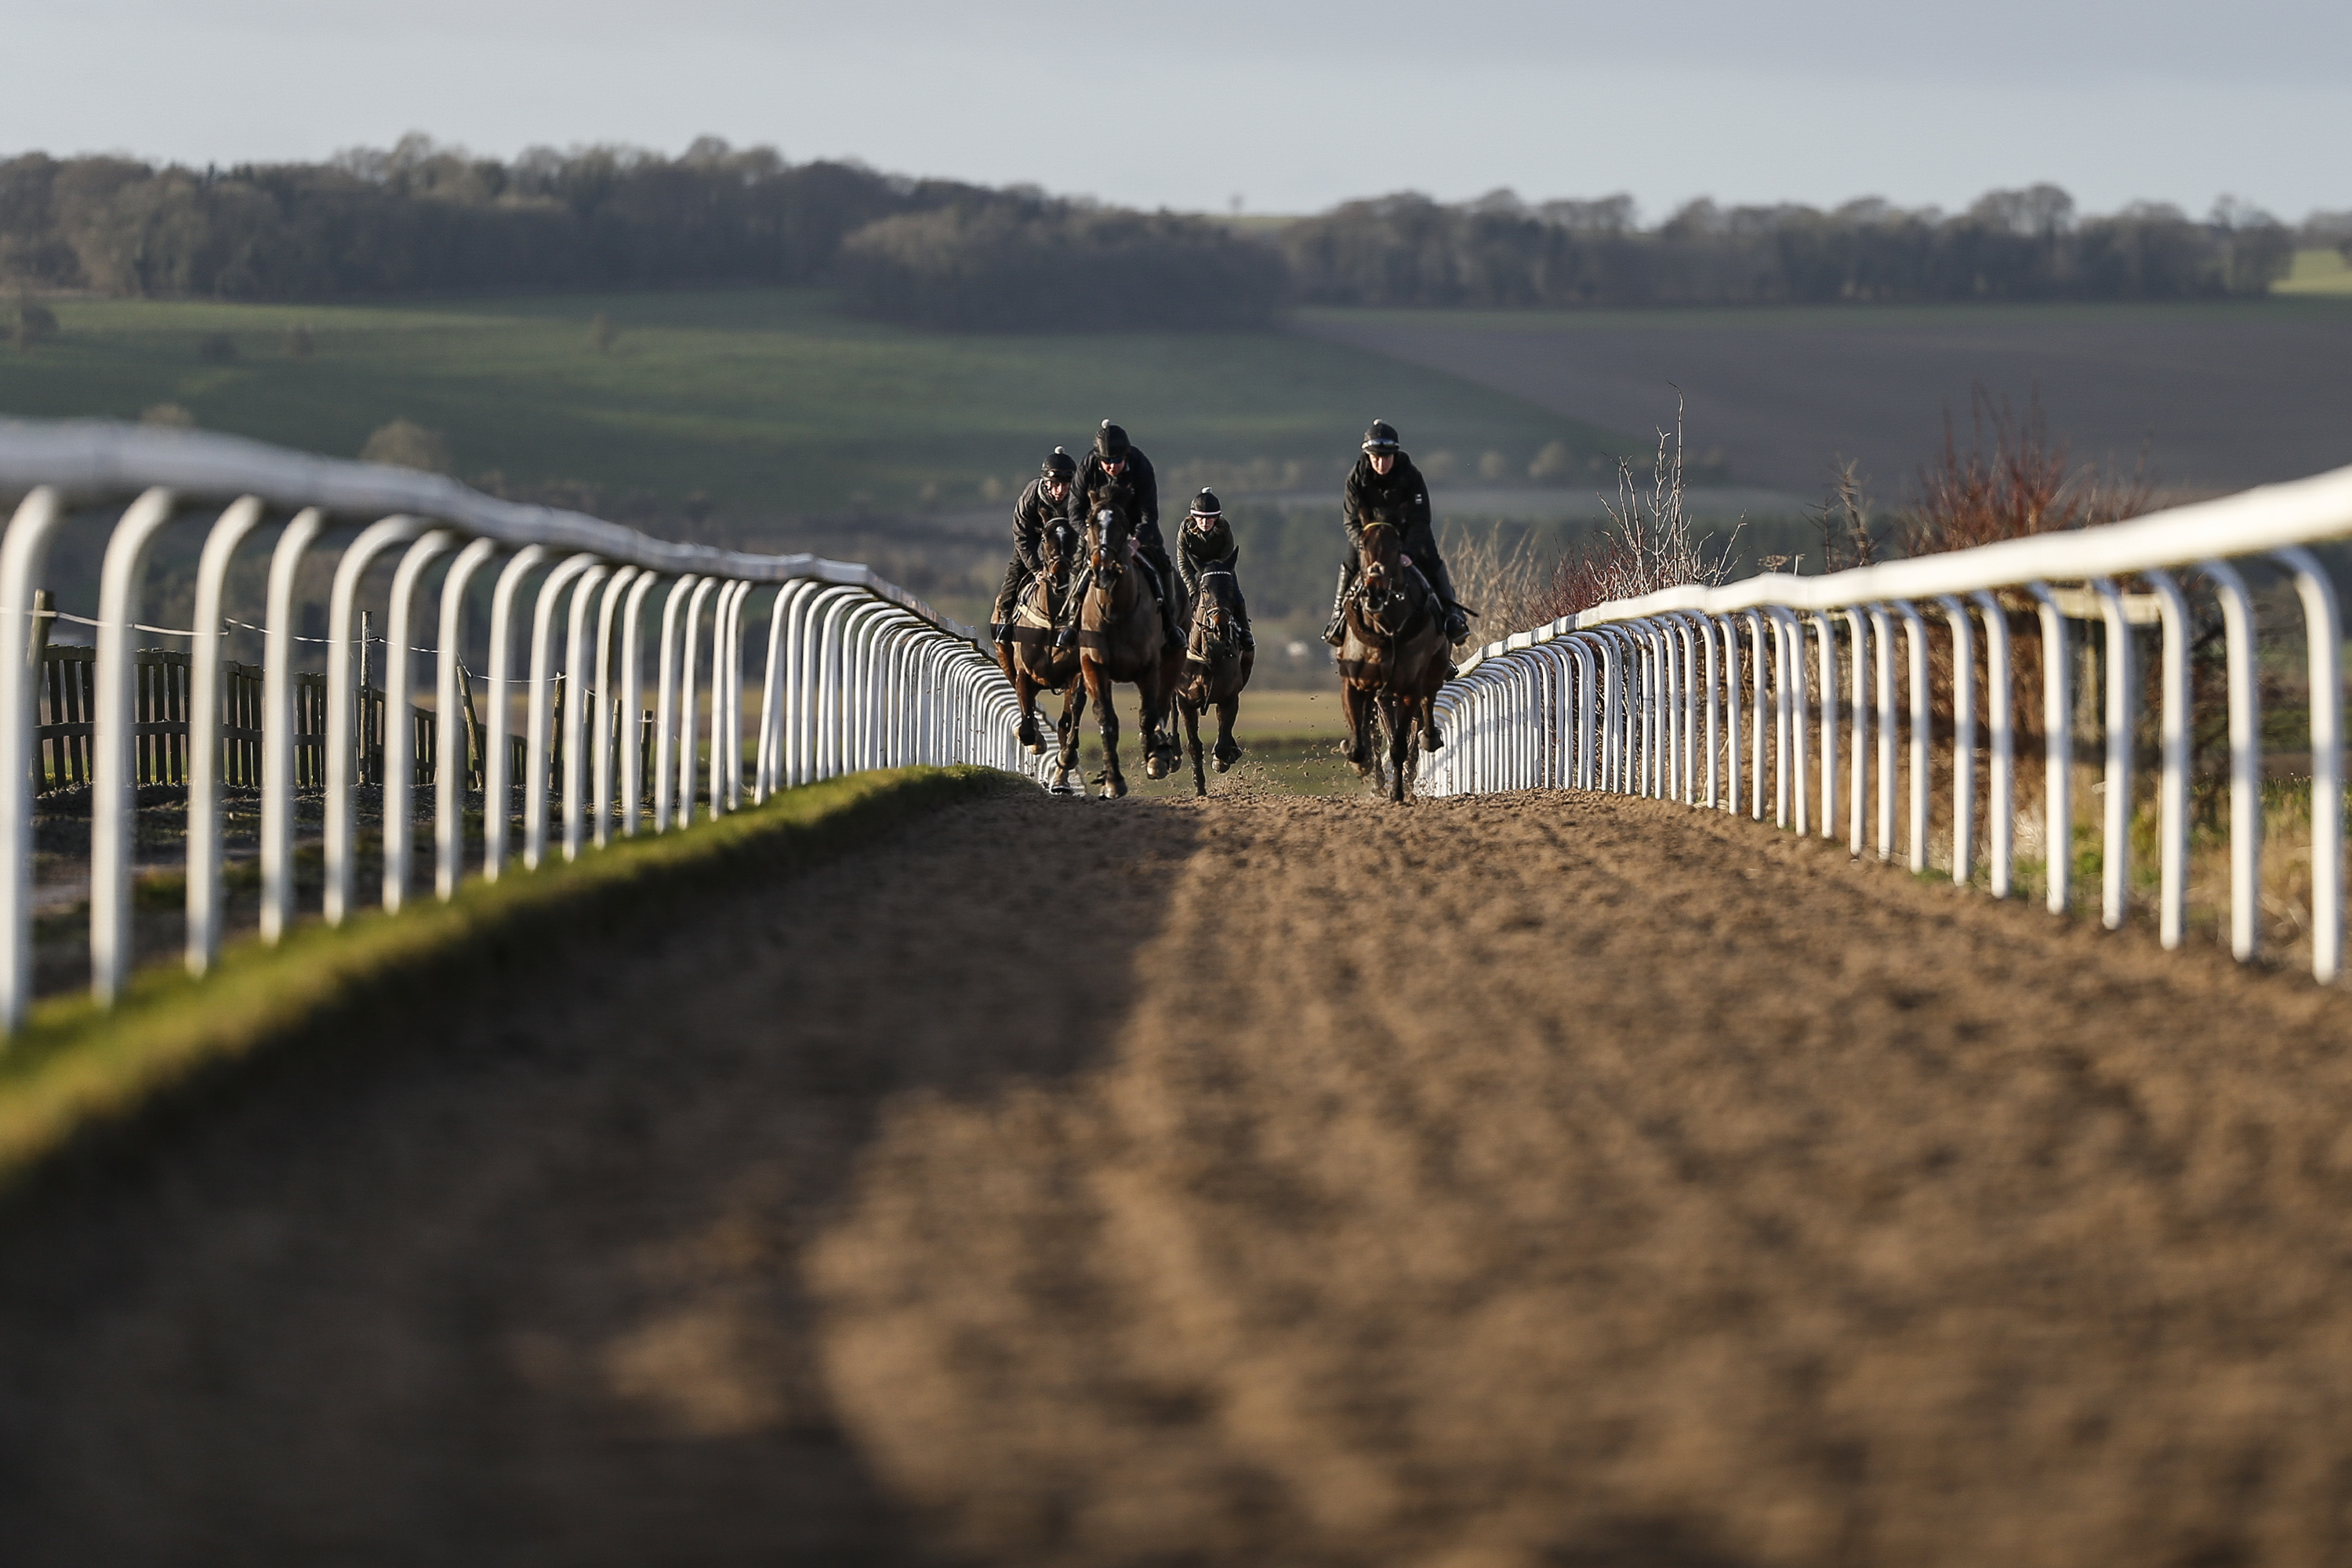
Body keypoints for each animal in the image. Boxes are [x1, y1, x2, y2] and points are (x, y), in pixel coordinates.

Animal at [1002, 521, 1091, 799]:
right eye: (1044, 537)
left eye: (1075, 537)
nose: (1059, 576)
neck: (1052, 620)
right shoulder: (1023, 674)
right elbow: (1027, 725)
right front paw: (1036, 743)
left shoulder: (1075, 674)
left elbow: (1067, 723)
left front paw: (1065, 767)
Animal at [1063, 479, 1176, 799]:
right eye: (1091, 521)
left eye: (1124, 523)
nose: (1103, 569)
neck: (1116, 609)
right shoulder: (1093, 665)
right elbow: (1106, 719)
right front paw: (1113, 779)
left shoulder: (1149, 667)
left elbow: (1148, 714)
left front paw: (1154, 756)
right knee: (1076, 706)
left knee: (1162, 703)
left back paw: (1161, 751)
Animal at [1171, 561, 1251, 799]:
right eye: (1205, 589)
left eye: (1232, 589)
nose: (1221, 626)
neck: (1209, 655)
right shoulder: (1185, 701)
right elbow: (1194, 745)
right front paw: (1199, 787)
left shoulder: (1230, 697)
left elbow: (1223, 739)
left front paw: (1223, 758)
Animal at [1345, 517, 1449, 804]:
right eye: (1362, 546)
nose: (1374, 593)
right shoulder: (1382, 699)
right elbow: (1389, 737)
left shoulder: (1412, 695)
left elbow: (1410, 743)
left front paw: (1407, 785)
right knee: (1374, 734)